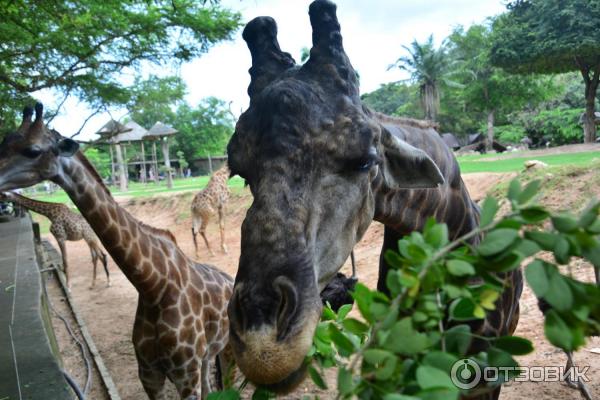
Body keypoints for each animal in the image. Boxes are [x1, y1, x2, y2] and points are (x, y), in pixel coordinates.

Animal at [0, 104, 234, 400]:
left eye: (32, 150)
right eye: (5, 141)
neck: (153, 286)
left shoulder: (185, 374)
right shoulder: (149, 374)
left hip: (226, 351)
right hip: (206, 357)